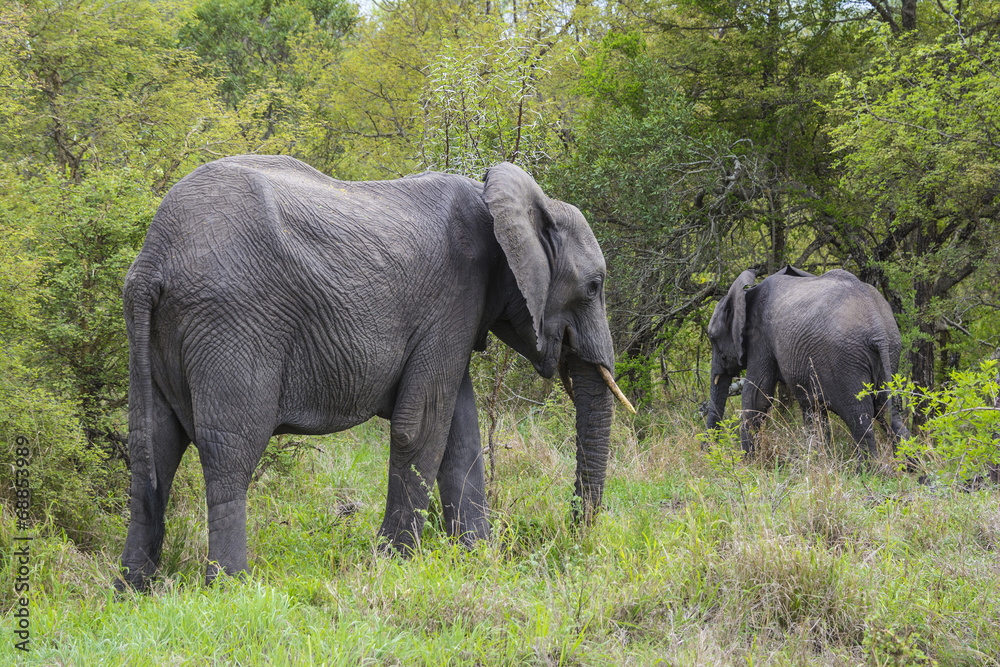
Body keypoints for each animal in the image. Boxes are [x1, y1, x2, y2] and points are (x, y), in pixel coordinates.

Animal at [117, 153, 632, 588]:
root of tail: (152, 261)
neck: (504, 199)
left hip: (157, 333)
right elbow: (420, 427)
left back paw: (132, 590)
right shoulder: (453, 299)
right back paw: (231, 588)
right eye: (594, 286)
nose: (574, 534)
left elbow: (460, 433)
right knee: (230, 451)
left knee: (151, 448)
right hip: (232, 321)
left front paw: (477, 559)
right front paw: (396, 564)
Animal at [708, 266, 912, 460]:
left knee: (859, 418)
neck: (746, 293)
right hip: (890, 352)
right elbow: (811, 407)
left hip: (846, 360)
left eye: (712, 338)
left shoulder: (760, 341)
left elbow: (756, 398)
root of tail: (879, 328)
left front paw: (747, 464)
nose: (709, 449)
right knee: (887, 413)